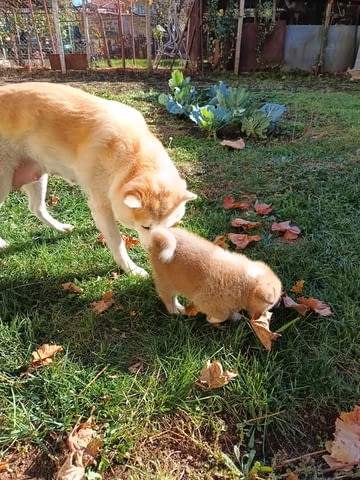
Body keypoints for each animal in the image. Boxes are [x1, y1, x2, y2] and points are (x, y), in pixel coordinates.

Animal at [0, 81, 197, 276]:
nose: (159, 255)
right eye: (146, 227)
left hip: (38, 177)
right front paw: (132, 269)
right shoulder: (101, 207)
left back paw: (59, 227)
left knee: (37, 208)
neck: (132, 154)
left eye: (169, 226)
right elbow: (117, 243)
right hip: (4, 183)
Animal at [146, 227, 282, 324]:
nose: (279, 304)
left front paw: (235, 315)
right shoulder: (205, 301)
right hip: (166, 282)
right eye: (271, 303)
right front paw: (212, 319)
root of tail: (158, 237)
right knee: (169, 299)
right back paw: (177, 310)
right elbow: (222, 315)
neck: (246, 284)